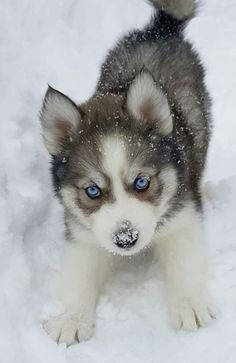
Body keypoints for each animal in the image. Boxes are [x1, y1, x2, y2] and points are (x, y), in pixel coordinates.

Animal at [41, 0, 216, 346]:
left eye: (142, 182)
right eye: (92, 190)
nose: (125, 239)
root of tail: (158, 30)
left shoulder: (182, 215)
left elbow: (185, 260)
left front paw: (189, 304)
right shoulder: (82, 232)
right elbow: (79, 273)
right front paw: (71, 317)